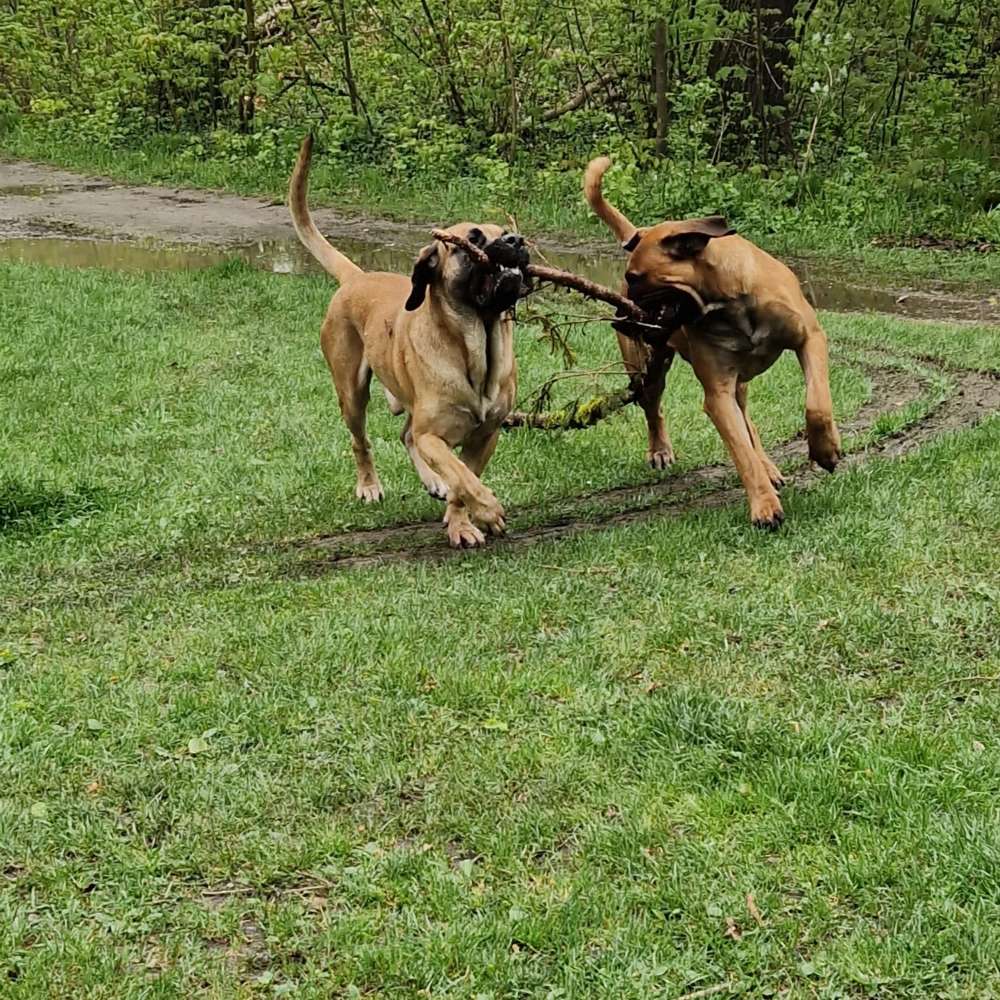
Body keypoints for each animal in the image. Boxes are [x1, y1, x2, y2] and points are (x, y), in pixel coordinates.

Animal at [288, 136, 532, 544]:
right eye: (472, 239)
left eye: (503, 230)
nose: (515, 240)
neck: (477, 343)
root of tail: (357, 277)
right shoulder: (432, 433)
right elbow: (463, 477)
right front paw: (487, 509)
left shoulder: (487, 433)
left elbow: (463, 478)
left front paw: (460, 520)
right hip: (352, 393)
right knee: (363, 440)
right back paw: (369, 486)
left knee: (405, 435)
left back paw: (434, 481)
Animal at [584, 154, 840, 532]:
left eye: (636, 277)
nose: (618, 318)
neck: (730, 301)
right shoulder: (717, 393)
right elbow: (741, 453)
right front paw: (764, 505)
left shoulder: (810, 339)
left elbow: (817, 403)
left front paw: (825, 450)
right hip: (648, 371)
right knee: (655, 410)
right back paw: (661, 450)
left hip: (737, 383)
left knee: (749, 421)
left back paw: (770, 465)